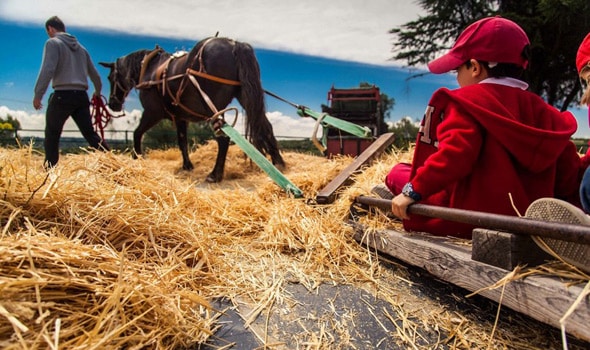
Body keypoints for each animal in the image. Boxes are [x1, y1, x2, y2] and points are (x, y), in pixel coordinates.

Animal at [98, 36, 286, 183]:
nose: (113, 104)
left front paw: (137, 157)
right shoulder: (181, 118)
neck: (150, 70)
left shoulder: (152, 112)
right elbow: (182, 141)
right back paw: (278, 162)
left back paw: (214, 175)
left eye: (110, 77)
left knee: (224, 138)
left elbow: (137, 133)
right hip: (245, 98)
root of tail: (234, 44)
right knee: (265, 127)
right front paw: (187, 165)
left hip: (212, 108)